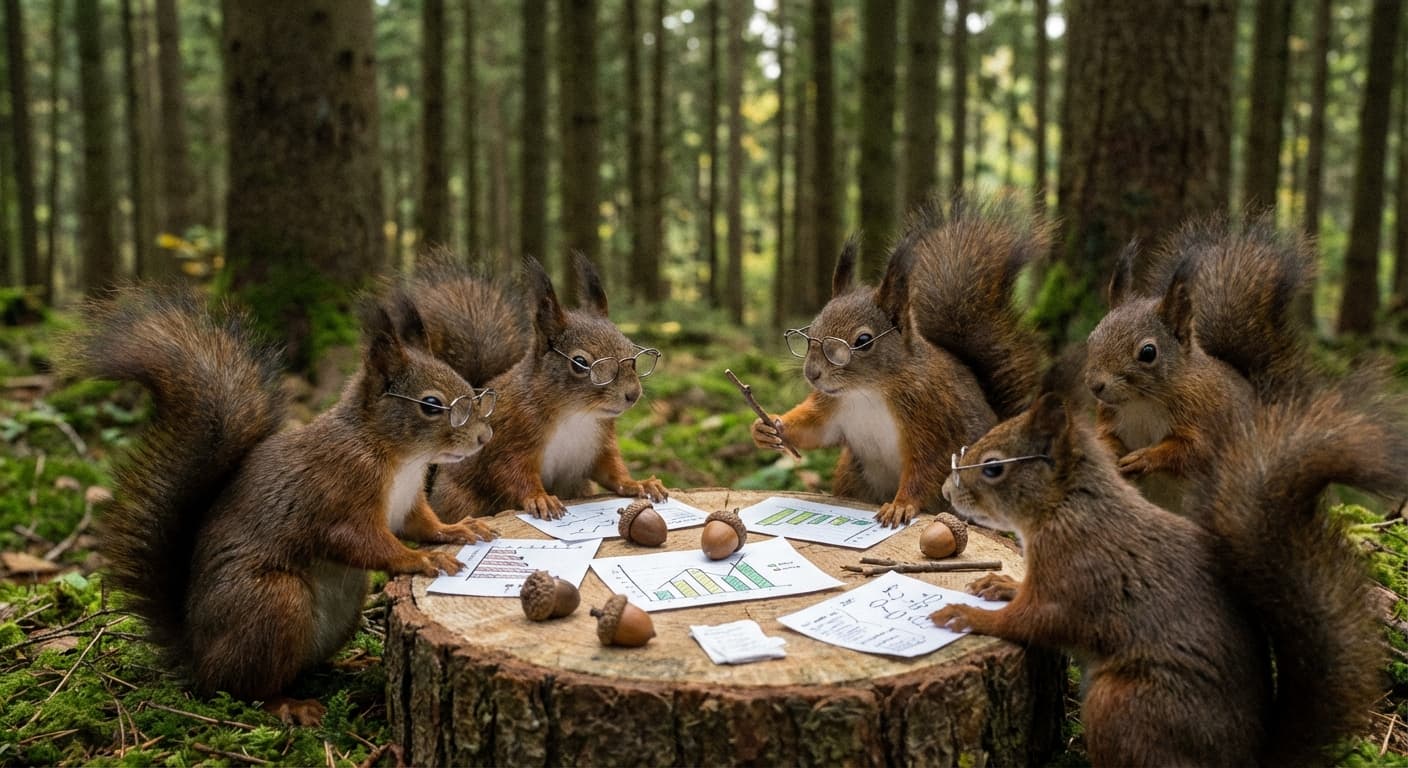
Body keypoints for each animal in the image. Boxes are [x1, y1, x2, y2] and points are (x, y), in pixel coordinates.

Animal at [63, 287, 497, 725]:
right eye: (432, 404)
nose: (484, 437)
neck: (397, 456)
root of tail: (196, 655)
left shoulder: (409, 501)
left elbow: (423, 524)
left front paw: (460, 529)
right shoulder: (337, 495)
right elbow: (362, 542)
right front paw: (421, 559)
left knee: (298, 667)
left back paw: (347, 664)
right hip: (274, 603)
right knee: (240, 688)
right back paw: (288, 704)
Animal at [430, 253, 668, 520]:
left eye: (632, 355)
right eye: (580, 363)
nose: (632, 394)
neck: (576, 414)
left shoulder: (600, 443)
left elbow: (611, 469)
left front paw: (638, 483)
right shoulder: (510, 437)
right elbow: (511, 472)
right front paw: (539, 498)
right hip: (459, 500)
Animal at [750, 196, 1046, 526]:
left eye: (863, 341)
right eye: (811, 332)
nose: (812, 374)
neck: (867, 391)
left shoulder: (931, 415)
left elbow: (927, 466)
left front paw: (901, 505)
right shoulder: (832, 407)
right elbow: (814, 430)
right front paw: (769, 426)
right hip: (852, 472)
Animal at [931, 375, 1403, 766]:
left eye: (993, 467)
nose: (945, 491)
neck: (1066, 507)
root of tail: (1247, 761)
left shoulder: (1080, 576)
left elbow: (1033, 621)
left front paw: (968, 615)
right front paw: (1000, 583)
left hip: (1122, 703)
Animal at [1083, 216, 1315, 512]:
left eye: (1148, 352)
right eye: (1092, 336)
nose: (1095, 385)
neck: (1141, 403)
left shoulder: (1206, 418)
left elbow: (1192, 451)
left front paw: (1146, 457)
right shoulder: (1110, 417)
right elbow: (1106, 436)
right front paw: (1104, 449)